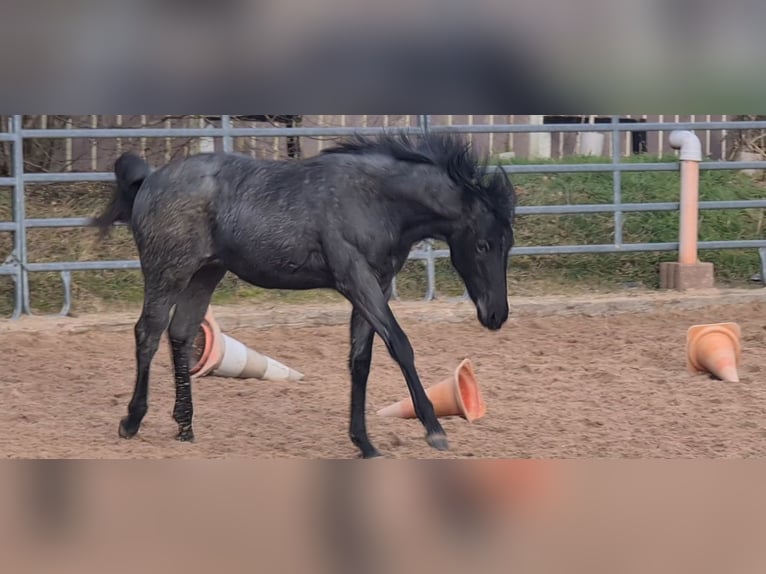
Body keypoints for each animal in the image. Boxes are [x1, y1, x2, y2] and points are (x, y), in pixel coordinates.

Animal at [93, 130, 520, 460]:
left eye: (508, 243)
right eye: (482, 244)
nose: (496, 315)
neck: (375, 199)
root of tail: (149, 179)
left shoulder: (376, 284)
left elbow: (360, 360)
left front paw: (365, 443)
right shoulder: (356, 279)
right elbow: (400, 344)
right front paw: (434, 429)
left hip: (206, 273)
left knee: (180, 332)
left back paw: (185, 426)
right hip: (168, 272)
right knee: (148, 332)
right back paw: (131, 420)